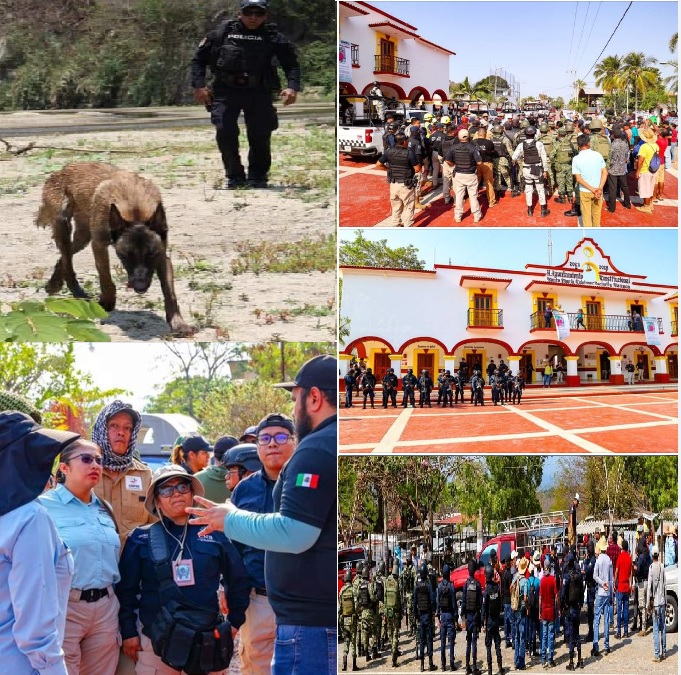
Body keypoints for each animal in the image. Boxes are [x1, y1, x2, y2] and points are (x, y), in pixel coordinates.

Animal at [37, 161, 191, 336]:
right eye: (125, 255)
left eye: (152, 254)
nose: (140, 287)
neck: (135, 212)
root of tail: (61, 170)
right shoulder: (98, 245)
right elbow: (106, 278)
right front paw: (107, 302)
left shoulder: (162, 257)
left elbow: (169, 293)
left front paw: (178, 323)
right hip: (63, 225)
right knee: (67, 261)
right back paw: (78, 293)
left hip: (83, 236)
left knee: (65, 256)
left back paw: (54, 282)